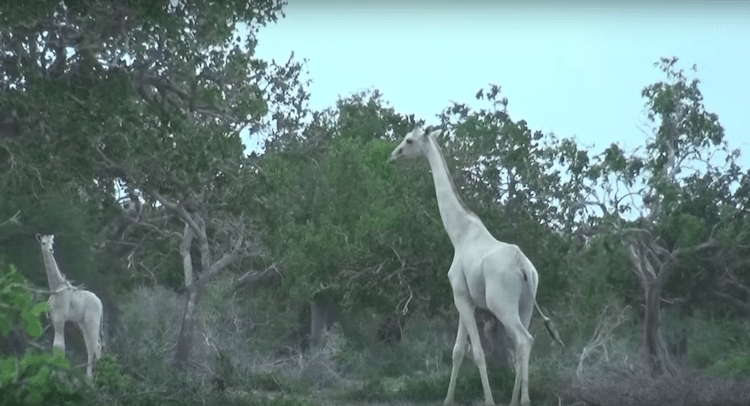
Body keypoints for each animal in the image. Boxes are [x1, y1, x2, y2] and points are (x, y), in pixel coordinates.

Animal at [37, 235, 104, 378]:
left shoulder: (60, 318)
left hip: (93, 320)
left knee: (97, 345)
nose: (50, 250)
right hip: (82, 322)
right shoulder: (53, 319)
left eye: (52, 242)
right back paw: (89, 377)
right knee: (89, 346)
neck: (56, 288)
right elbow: (56, 345)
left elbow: (59, 345)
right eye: (43, 242)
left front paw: (58, 371)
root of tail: (100, 302)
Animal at [388, 127, 564, 406]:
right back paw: (514, 401)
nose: (393, 156)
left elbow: (478, 353)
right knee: (521, 344)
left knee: (524, 340)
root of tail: (523, 267)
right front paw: (448, 400)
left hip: (501, 304)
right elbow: (458, 351)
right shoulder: (465, 300)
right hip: (525, 305)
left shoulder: (461, 296)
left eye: (409, 140)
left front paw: (488, 401)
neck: (459, 234)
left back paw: (524, 401)